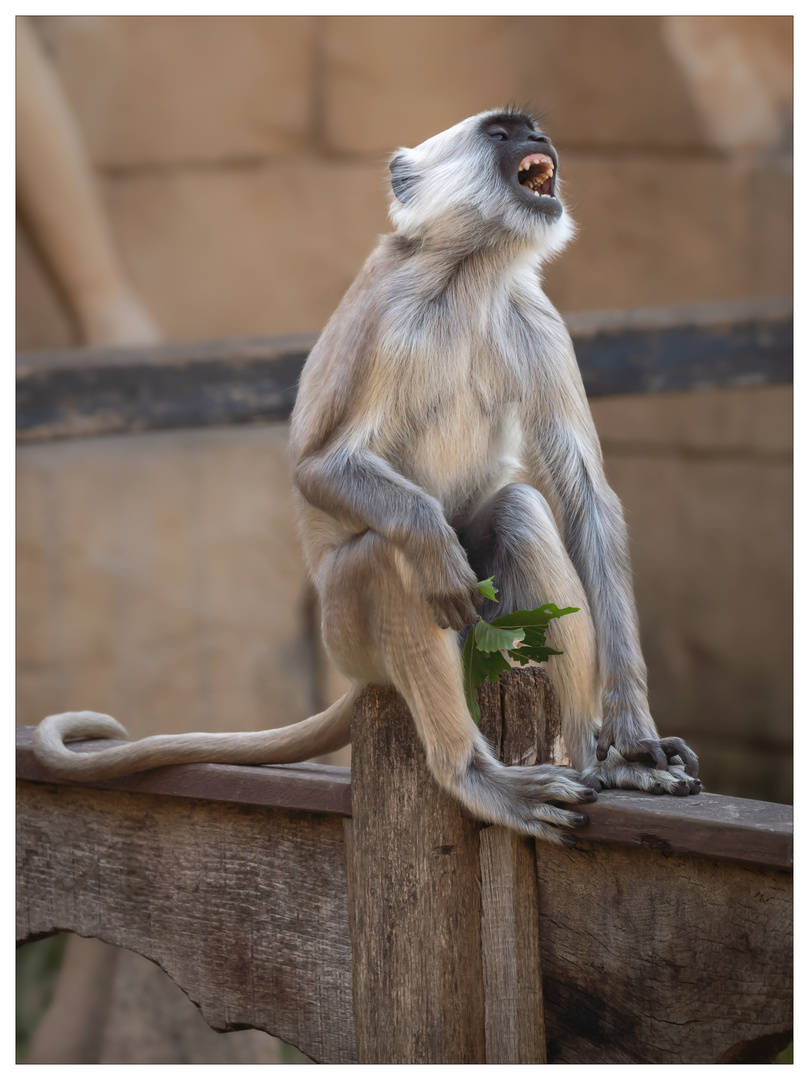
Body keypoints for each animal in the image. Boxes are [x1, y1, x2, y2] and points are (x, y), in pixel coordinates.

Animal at [34, 113, 695, 846]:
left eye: (531, 130)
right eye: (500, 134)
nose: (540, 141)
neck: (468, 277)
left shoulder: (534, 316)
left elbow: (586, 498)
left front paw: (632, 738)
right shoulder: (396, 313)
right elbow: (319, 467)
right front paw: (429, 542)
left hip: (479, 616)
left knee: (520, 509)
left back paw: (594, 761)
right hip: (346, 631)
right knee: (386, 556)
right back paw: (474, 777)